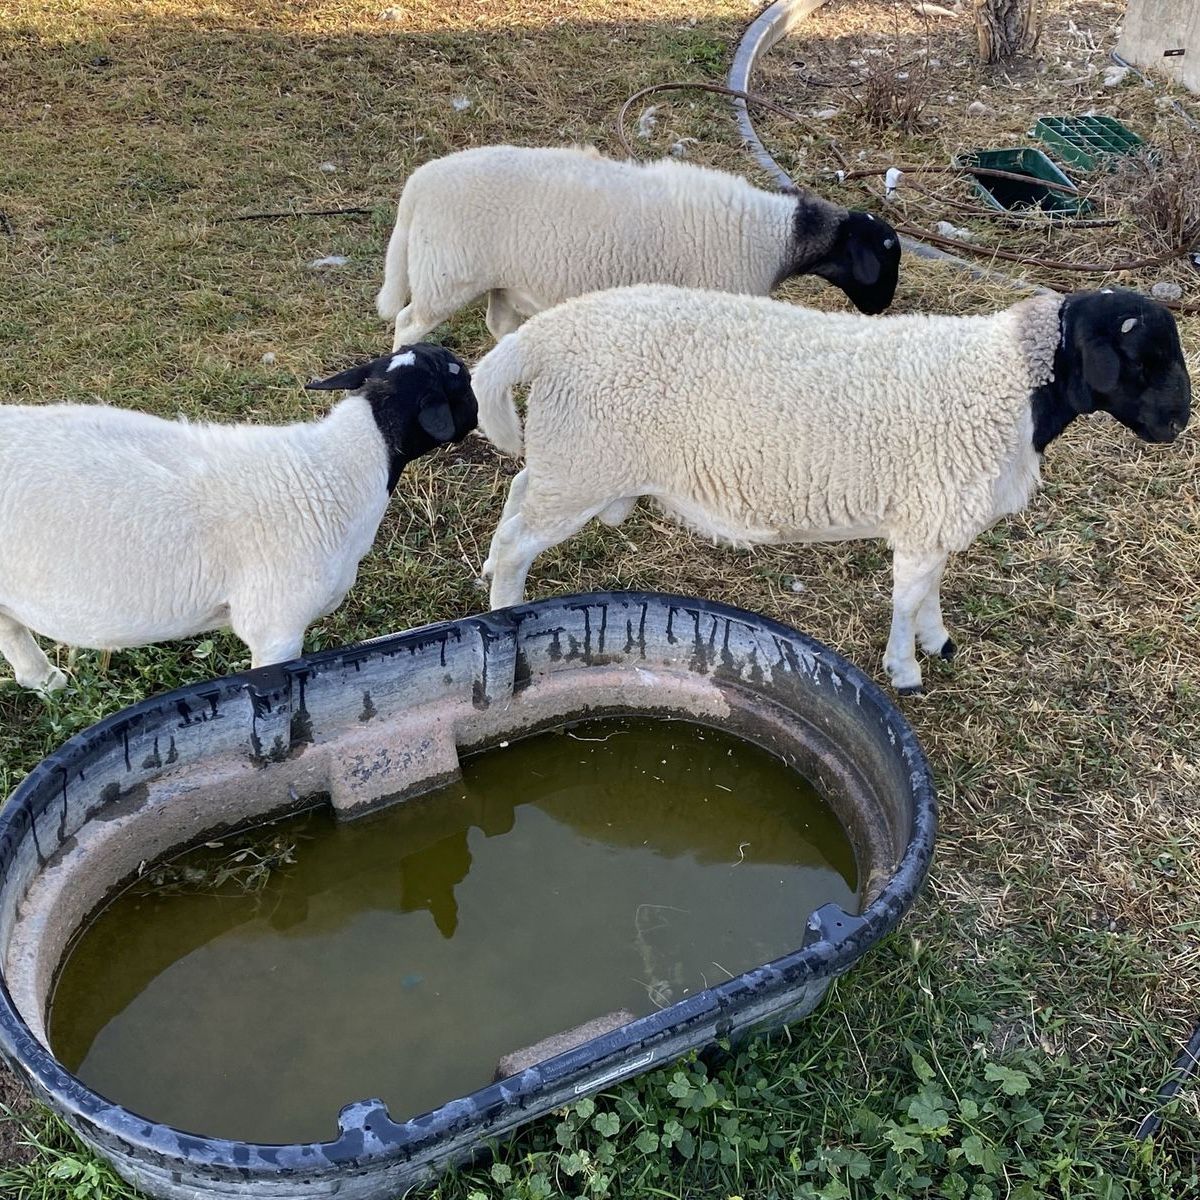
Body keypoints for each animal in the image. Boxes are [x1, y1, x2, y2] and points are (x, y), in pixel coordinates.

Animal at [376, 144, 902, 350]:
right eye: (887, 252)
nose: (881, 311)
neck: (777, 237)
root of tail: (419, 184)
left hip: (500, 279)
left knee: (499, 324)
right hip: (446, 275)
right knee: (408, 322)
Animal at [474, 284, 1190, 693]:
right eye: (1142, 359)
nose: (1180, 423)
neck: (1011, 382)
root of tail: (544, 335)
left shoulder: (933, 515)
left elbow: (930, 588)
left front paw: (937, 641)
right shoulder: (928, 511)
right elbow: (907, 598)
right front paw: (906, 671)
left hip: (570, 455)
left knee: (518, 496)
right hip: (585, 458)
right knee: (517, 543)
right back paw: (503, 613)